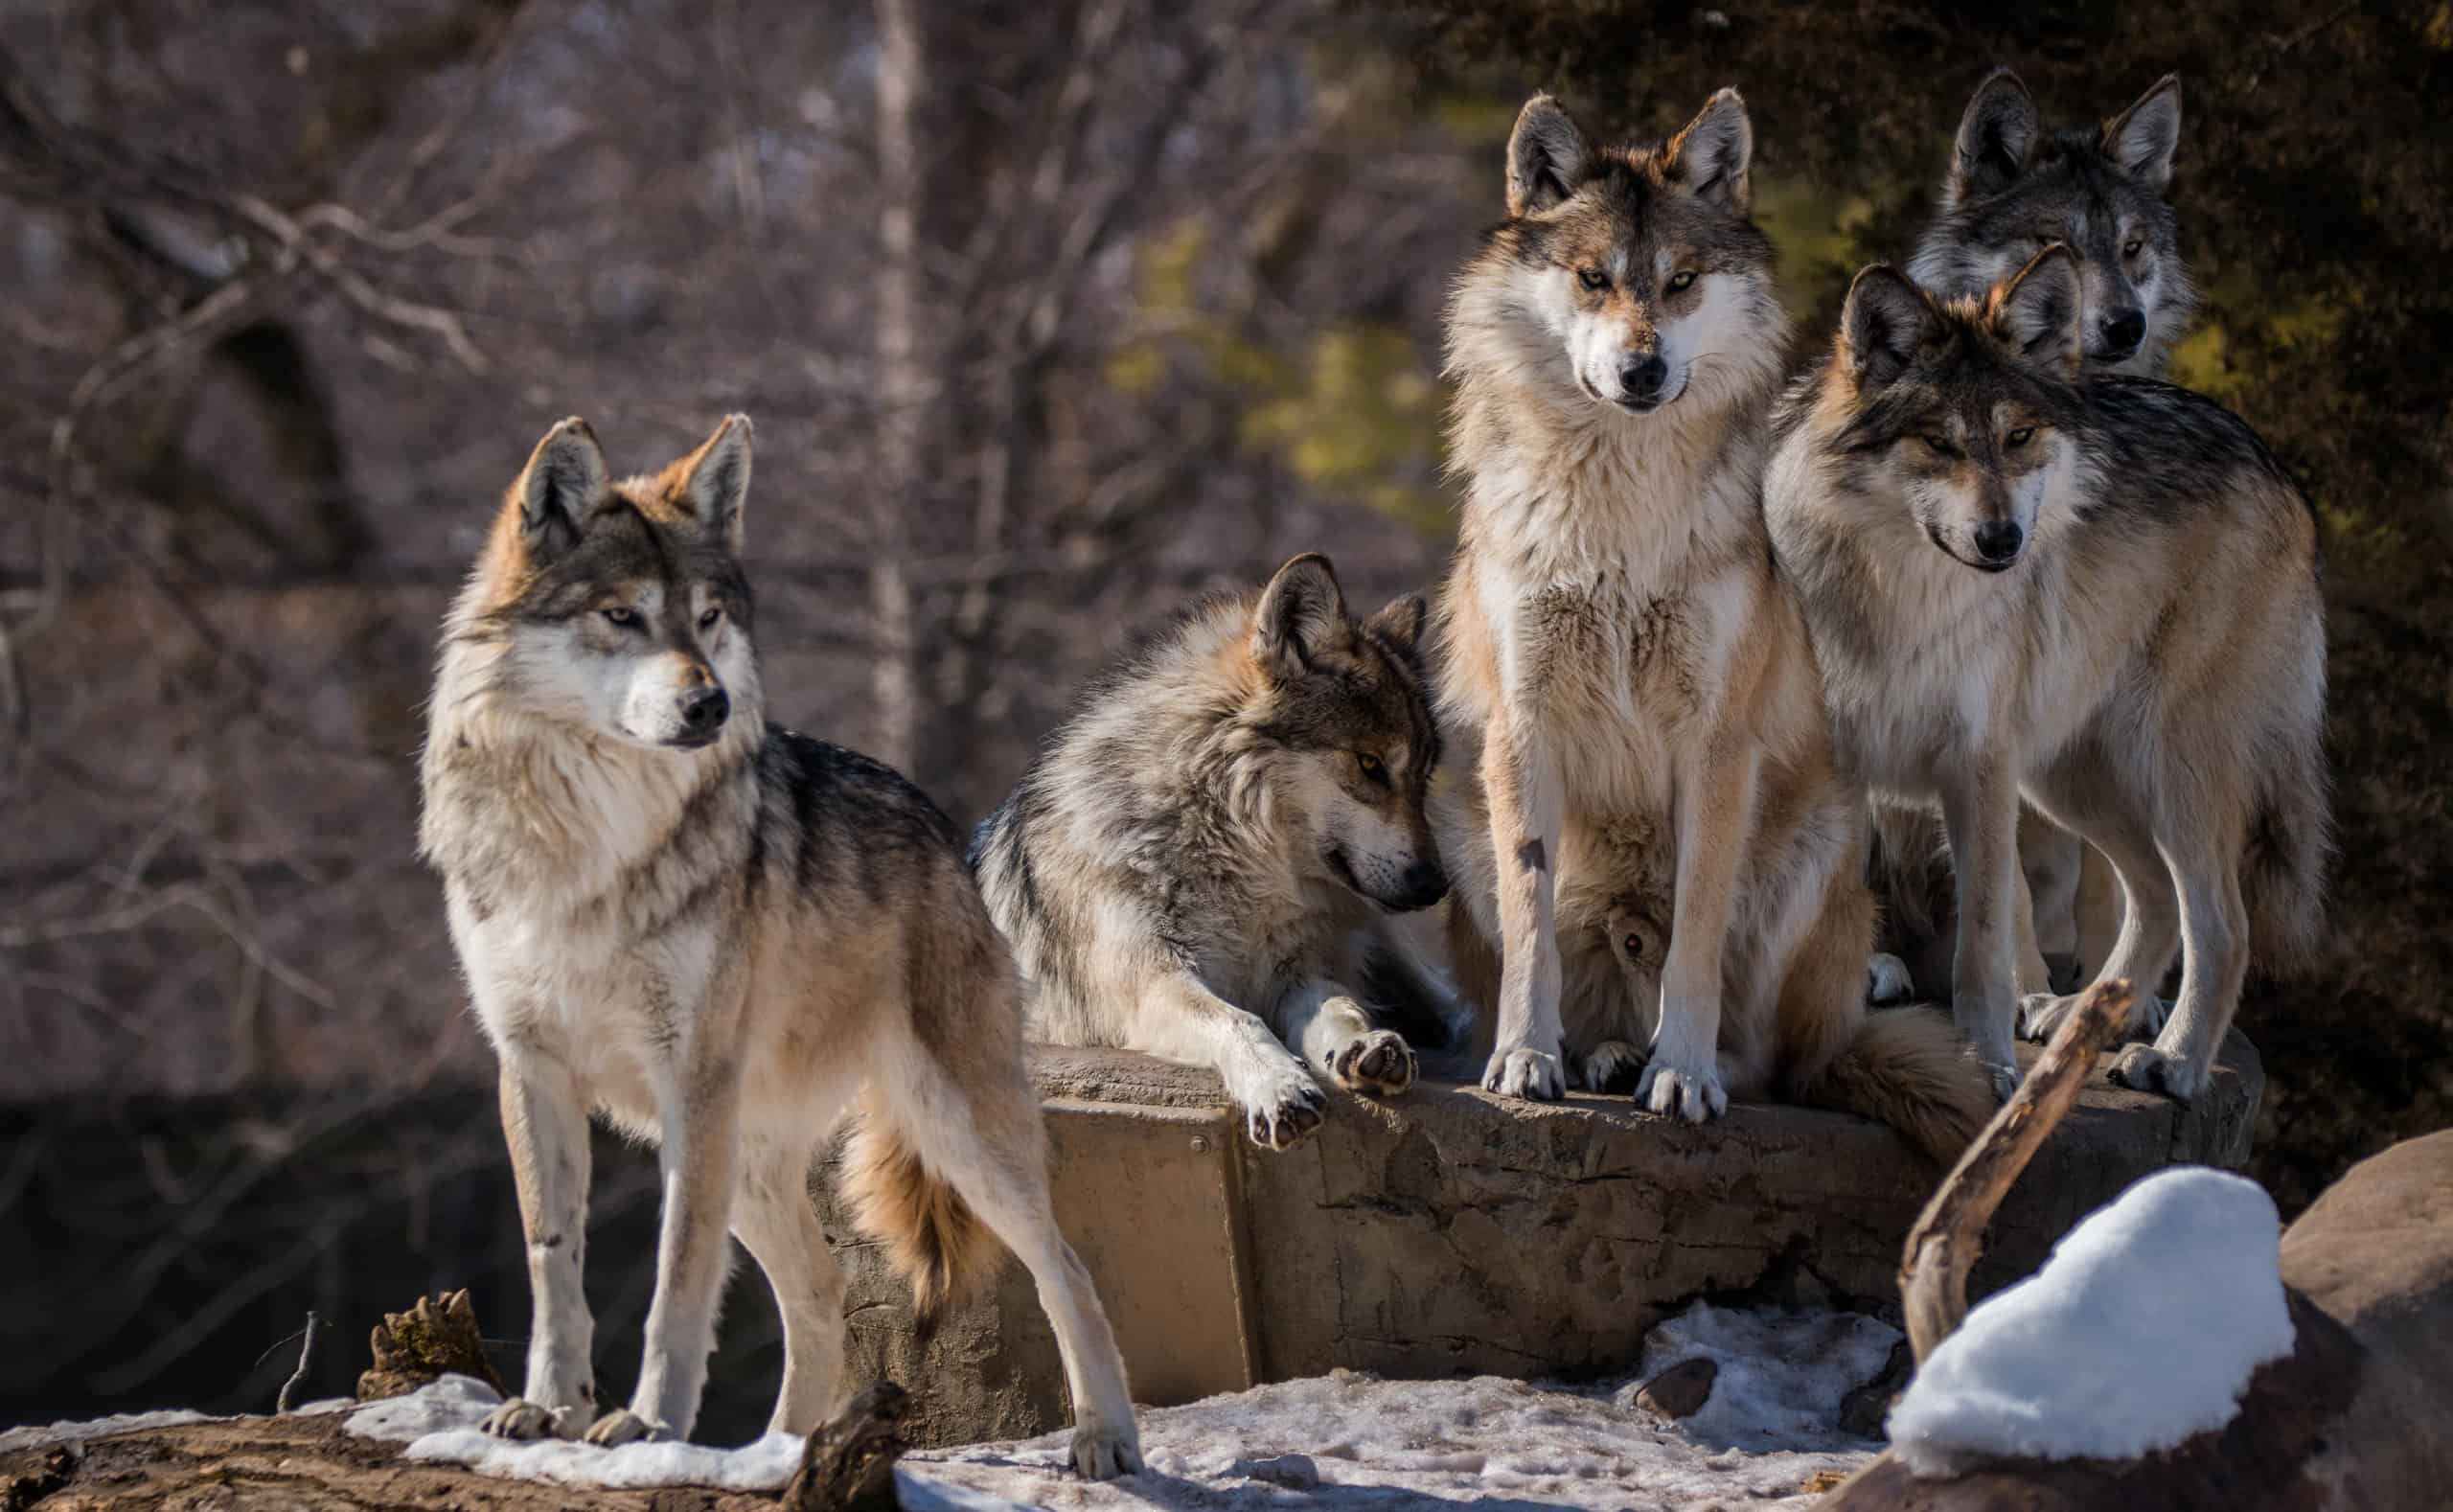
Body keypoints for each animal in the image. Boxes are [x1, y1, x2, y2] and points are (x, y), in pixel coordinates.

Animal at [419, 415, 1139, 1474]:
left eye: (709, 617)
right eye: (623, 616)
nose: (709, 704)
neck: (589, 845)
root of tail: (944, 823)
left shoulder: (691, 1081)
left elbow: (677, 1279)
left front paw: (648, 1428)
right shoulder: (533, 1070)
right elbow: (555, 1267)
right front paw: (546, 1412)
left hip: (948, 1131)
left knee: (1068, 1267)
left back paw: (1105, 1438)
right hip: (754, 1161)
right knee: (819, 1292)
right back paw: (782, 1452)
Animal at [970, 553, 1465, 1151]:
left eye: (1423, 776)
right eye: (1370, 765)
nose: (1436, 885)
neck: (1238, 859)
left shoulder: (1298, 974)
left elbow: (1343, 1006)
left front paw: (1360, 1047)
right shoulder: (1153, 982)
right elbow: (1237, 1020)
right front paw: (1279, 1086)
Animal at [1430, 88, 1993, 1160]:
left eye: (1682, 283)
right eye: (1594, 280)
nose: (1642, 371)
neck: (1615, 519)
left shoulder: (1715, 744)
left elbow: (1692, 936)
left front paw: (1682, 1076)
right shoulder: (1521, 731)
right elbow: (1530, 930)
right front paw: (1525, 1061)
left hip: (1821, 838)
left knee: (1780, 1063)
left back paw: (1680, 1064)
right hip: (1460, 824)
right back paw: (1600, 1056)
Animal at [1763, 246, 2330, 1102]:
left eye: (2020, 436)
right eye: (1939, 444)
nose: (2003, 541)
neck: (1905, 599)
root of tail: (2267, 457)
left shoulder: (1978, 768)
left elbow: (1983, 943)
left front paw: (1987, 1068)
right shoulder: (1838, 766)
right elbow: (1836, 911)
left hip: (2165, 766)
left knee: (2222, 924)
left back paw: (2174, 1059)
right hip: (2070, 777)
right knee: (2154, 895)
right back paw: (2081, 1019)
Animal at [1876, 69, 2197, 994]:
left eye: (2131, 248)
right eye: (2053, 244)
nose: (2124, 324)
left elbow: (2108, 885)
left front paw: (2116, 995)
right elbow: (2002, 878)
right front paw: (2019, 989)